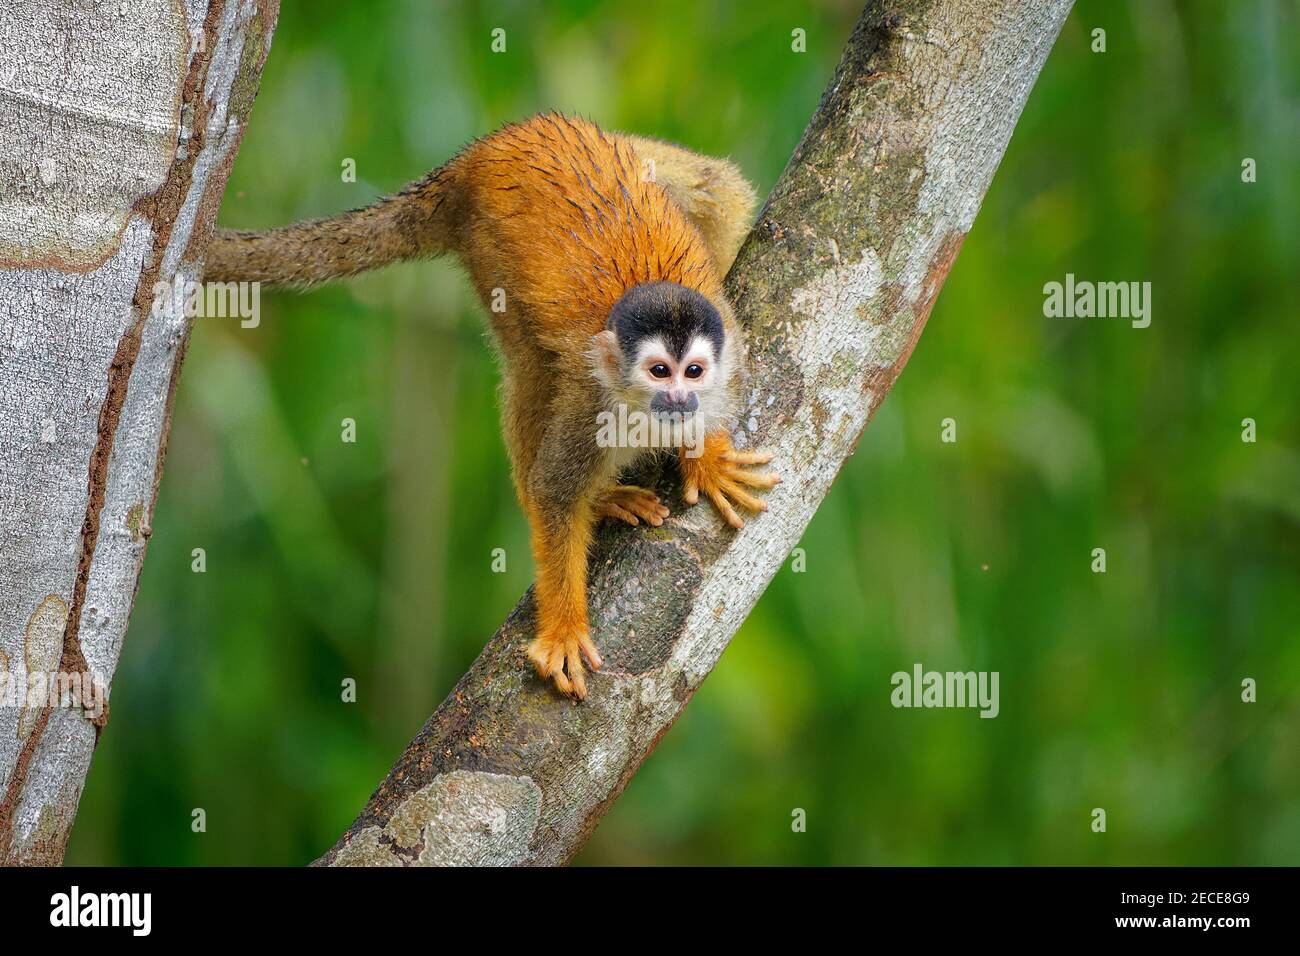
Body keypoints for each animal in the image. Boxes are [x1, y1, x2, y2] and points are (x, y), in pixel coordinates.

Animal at [206, 113, 774, 702]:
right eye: (659, 371)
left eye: (693, 372)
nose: (680, 399)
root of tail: (475, 156)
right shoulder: (590, 400)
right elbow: (553, 492)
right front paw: (563, 628)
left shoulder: (731, 357)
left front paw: (706, 459)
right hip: (488, 244)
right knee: (531, 370)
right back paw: (596, 495)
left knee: (715, 188)